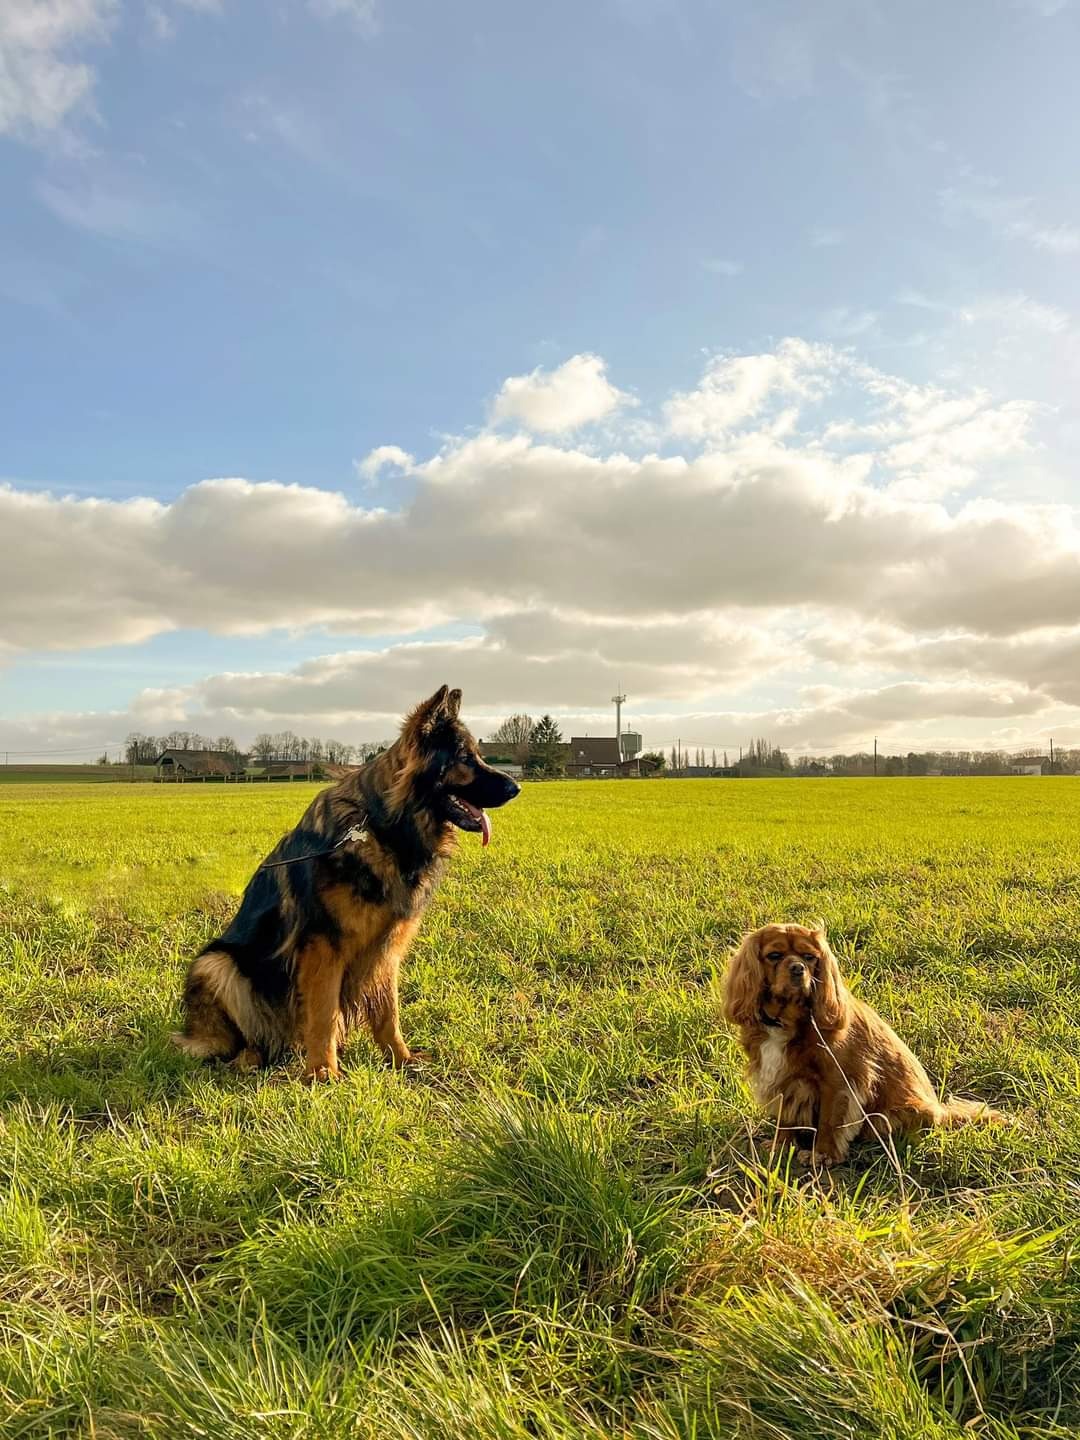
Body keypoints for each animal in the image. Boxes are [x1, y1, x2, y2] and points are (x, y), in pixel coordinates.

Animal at [171, 688, 521, 1082]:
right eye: (464, 757)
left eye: (478, 754)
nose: (517, 787)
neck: (385, 828)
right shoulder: (324, 947)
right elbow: (325, 1013)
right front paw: (323, 1071)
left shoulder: (387, 948)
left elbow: (388, 1013)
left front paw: (401, 1060)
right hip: (216, 964)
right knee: (241, 1040)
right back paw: (250, 1058)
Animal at [722, 921, 1002, 1169]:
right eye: (775, 955)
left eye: (810, 957)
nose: (798, 968)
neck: (788, 1021)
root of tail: (940, 1111)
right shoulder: (783, 1080)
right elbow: (785, 1116)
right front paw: (780, 1145)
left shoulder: (839, 1080)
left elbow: (829, 1121)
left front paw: (822, 1155)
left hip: (890, 1116)